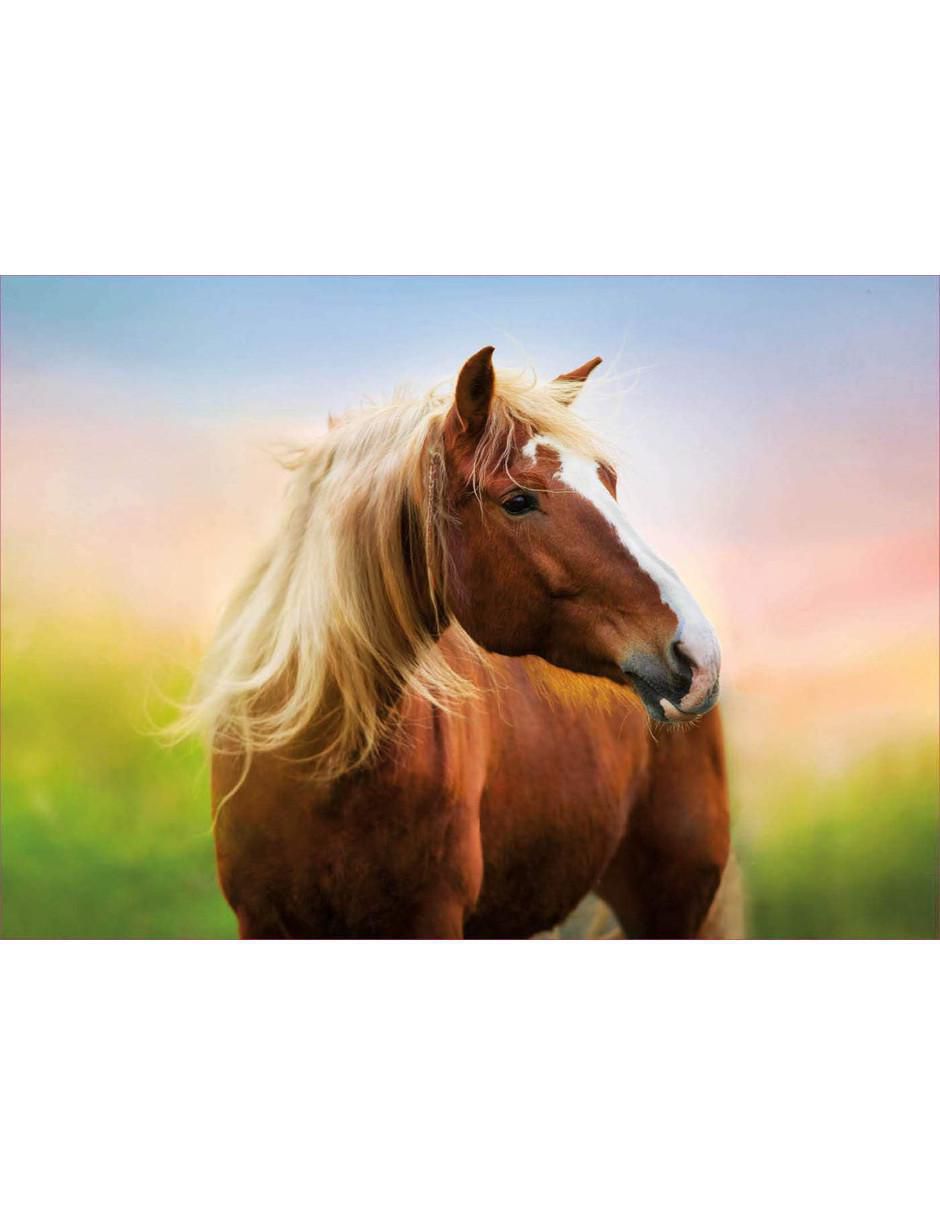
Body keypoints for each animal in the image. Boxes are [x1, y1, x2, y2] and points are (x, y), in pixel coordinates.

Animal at [185, 346, 739, 939]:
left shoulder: (430, 918)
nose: (699, 653)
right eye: (517, 501)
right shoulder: (261, 920)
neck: (321, 766)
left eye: (608, 482)